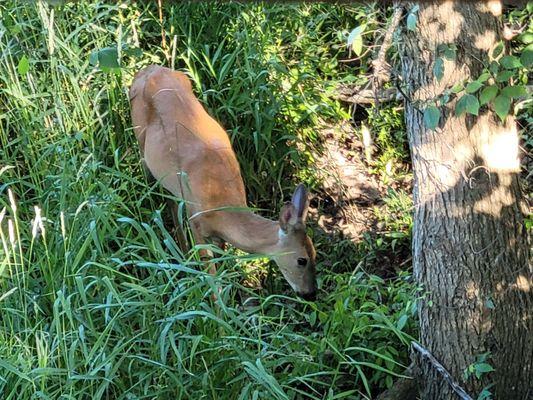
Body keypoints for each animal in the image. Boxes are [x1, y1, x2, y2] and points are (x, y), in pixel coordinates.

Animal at [129, 64, 318, 298]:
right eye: (302, 260)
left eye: (315, 254)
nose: (311, 293)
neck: (223, 206)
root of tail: (147, 70)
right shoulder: (196, 220)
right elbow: (211, 274)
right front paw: (218, 302)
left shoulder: (218, 235)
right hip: (140, 142)